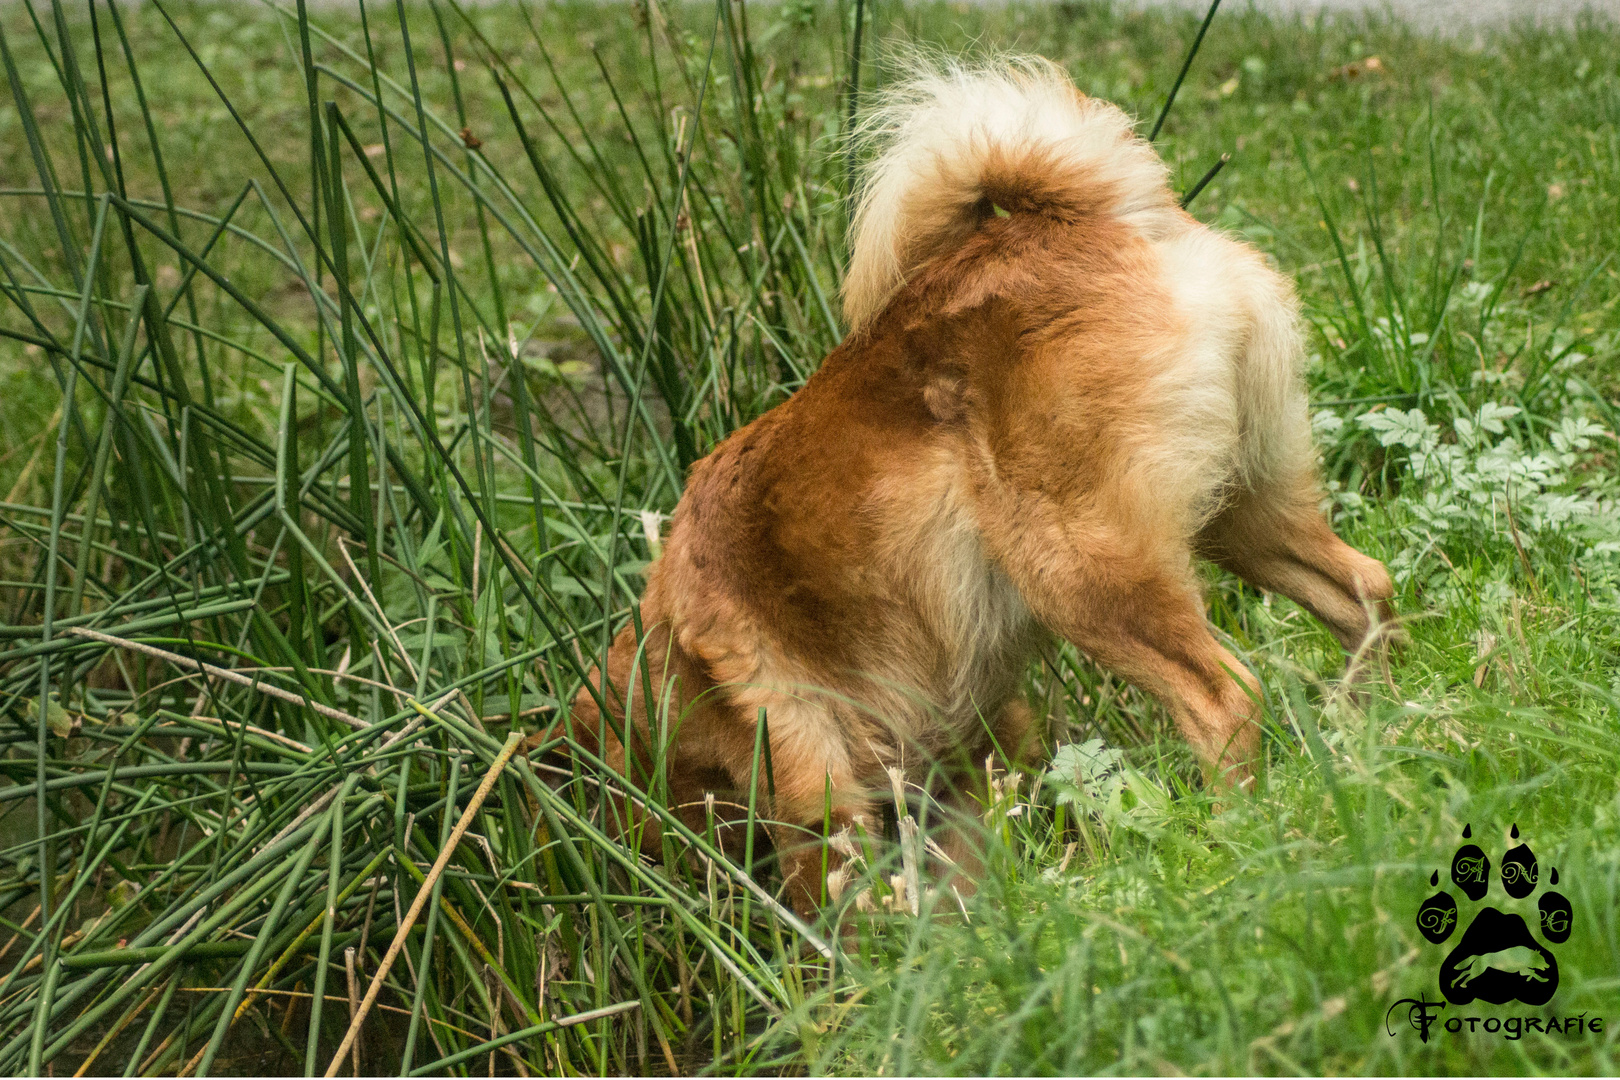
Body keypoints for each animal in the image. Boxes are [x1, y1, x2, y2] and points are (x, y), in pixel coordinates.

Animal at [554, 57, 1393, 919]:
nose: (649, 868)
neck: (675, 656)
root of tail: (1097, 219)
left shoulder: (812, 783)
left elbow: (841, 912)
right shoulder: (965, 753)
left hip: (1084, 577)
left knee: (1226, 701)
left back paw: (1236, 841)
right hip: (1242, 517)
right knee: (1363, 591)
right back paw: (1377, 736)